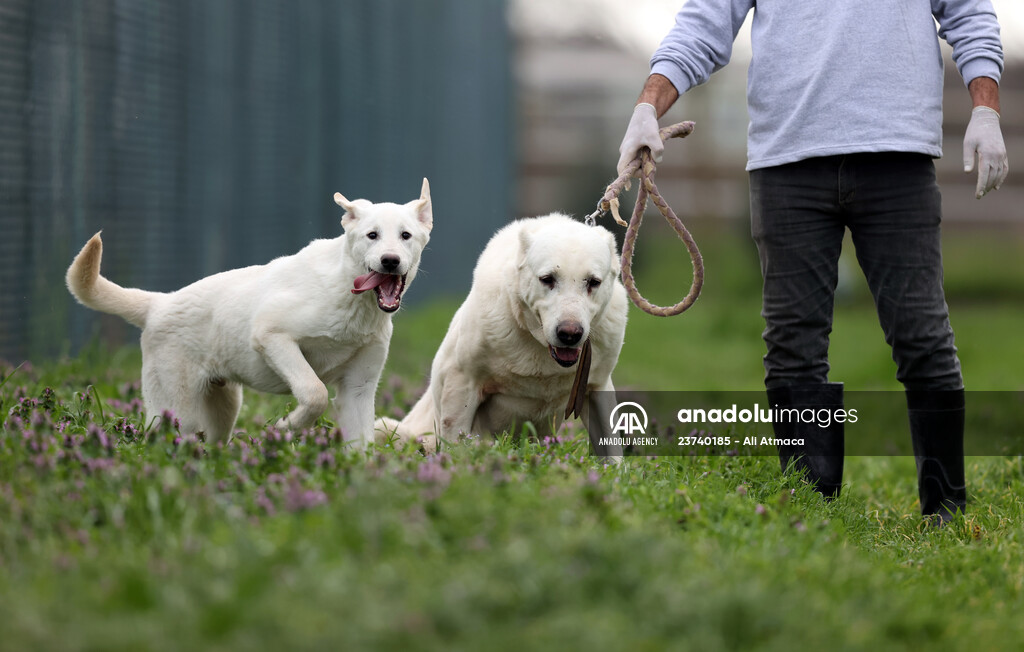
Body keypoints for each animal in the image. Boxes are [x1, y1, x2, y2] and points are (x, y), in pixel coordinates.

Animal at [64, 179, 432, 448]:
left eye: (405, 236)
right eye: (372, 235)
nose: (390, 261)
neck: (349, 295)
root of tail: (159, 303)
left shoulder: (359, 390)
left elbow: (362, 448)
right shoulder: (271, 335)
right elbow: (314, 394)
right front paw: (284, 429)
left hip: (224, 407)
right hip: (180, 413)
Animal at [380, 211, 626, 448]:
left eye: (593, 282)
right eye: (547, 279)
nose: (570, 334)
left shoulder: (598, 388)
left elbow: (612, 449)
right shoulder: (461, 381)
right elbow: (455, 442)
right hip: (389, 428)